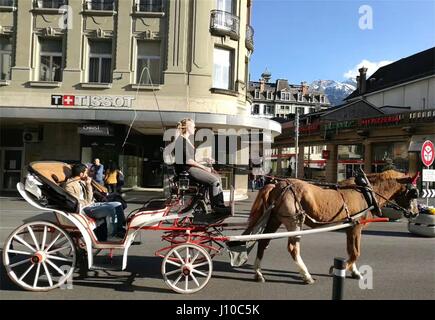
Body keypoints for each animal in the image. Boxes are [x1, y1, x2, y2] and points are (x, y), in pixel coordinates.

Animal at [247, 171, 420, 284]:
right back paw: (306, 276)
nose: (416, 212)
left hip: (275, 219)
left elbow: (351, 250)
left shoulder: (351, 228)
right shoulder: (356, 227)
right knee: (293, 248)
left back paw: (258, 273)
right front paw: (337, 269)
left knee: (263, 242)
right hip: (294, 222)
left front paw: (355, 271)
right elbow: (355, 252)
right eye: (414, 193)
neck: (366, 192)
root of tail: (277, 185)